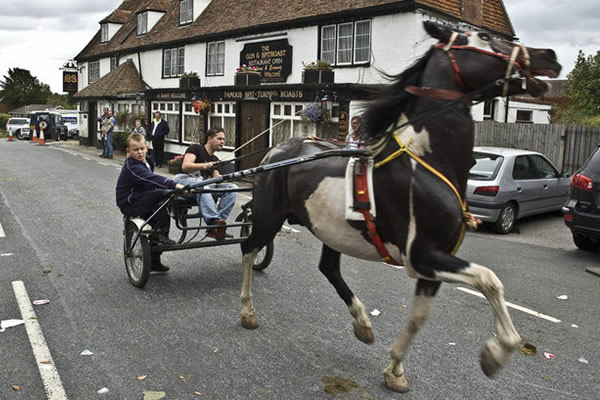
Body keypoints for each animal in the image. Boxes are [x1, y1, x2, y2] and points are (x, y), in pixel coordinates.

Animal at [239, 21, 564, 394]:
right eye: (482, 37)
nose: (549, 55)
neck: (425, 161)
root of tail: (278, 149)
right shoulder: (423, 255)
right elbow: (490, 280)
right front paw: (497, 352)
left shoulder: (433, 262)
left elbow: (420, 316)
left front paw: (395, 368)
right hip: (269, 217)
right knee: (249, 249)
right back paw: (247, 311)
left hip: (331, 229)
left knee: (328, 268)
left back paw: (362, 324)